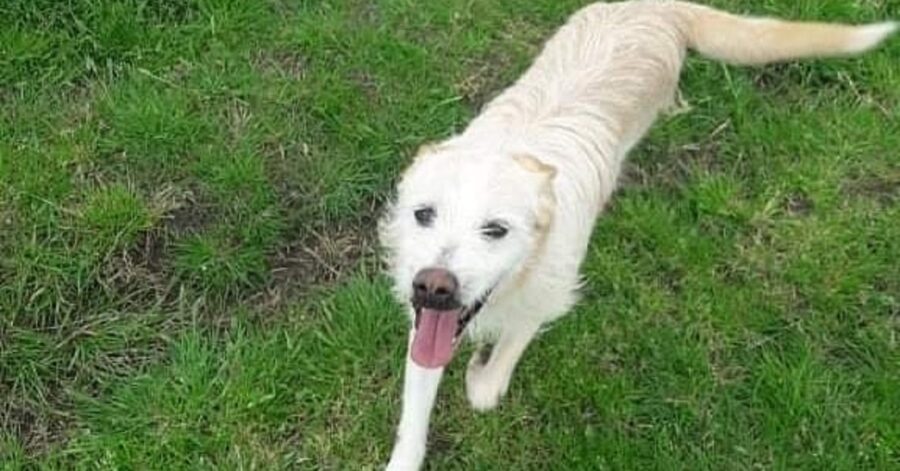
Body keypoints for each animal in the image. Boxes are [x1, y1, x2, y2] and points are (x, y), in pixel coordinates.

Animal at [378, 1, 892, 470]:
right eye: (424, 214)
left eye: (496, 229)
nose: (433, 286)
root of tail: (658, 5)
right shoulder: (425, 325)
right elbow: (414, 415)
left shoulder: (546, 296)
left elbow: (489, 381)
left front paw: (481, 373)